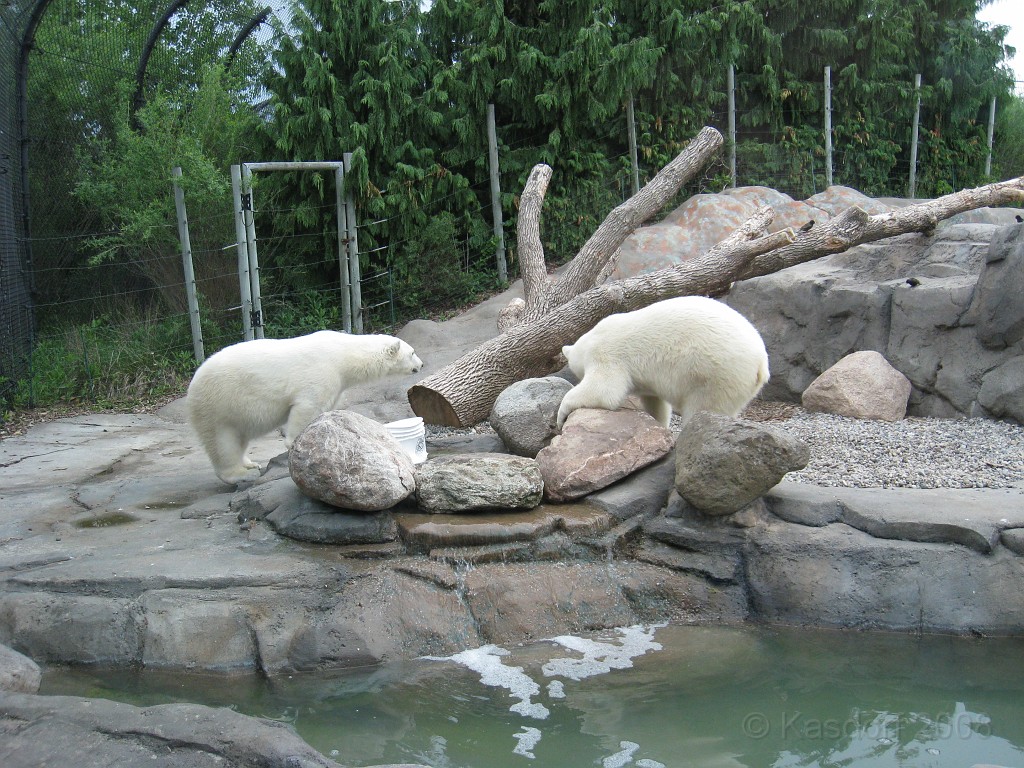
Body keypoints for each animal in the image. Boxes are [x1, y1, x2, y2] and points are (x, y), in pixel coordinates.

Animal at [186, 331, 421, 487]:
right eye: (412, 352)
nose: (420, 365)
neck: (345, 353)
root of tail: (192, 384)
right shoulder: (322, 372)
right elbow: (308, 405)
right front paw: (296, 444)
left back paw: (250, 464)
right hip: (218, 404)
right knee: (223, 443)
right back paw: (243, 474)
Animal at [561, 296, 770, 434]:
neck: (592, 338)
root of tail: (761, 363)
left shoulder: (607, 355)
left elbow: (604, 392)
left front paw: (562, 413)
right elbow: (655, 402)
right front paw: (659, 424)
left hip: (718, 374)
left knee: (704, 408)